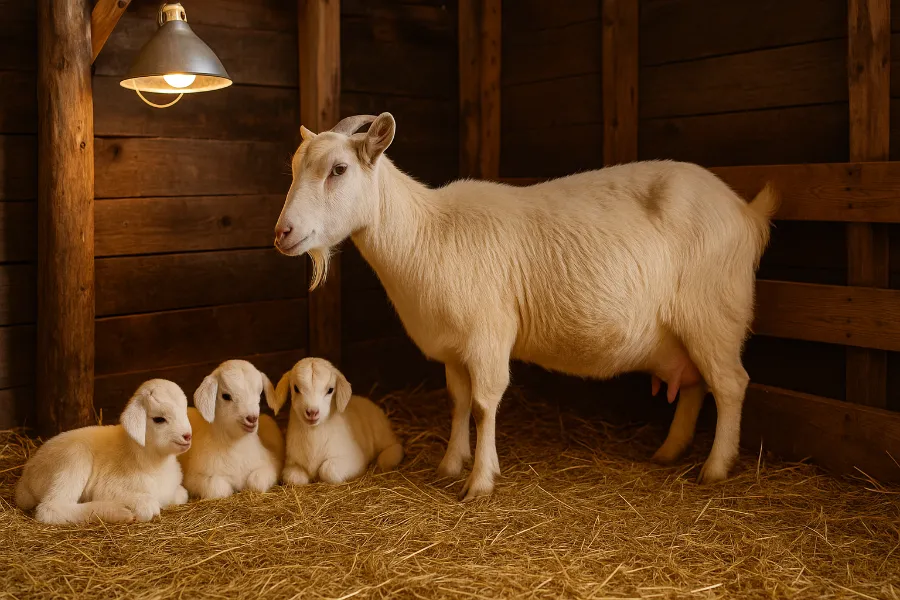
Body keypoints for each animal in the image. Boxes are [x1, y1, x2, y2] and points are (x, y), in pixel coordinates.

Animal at [16, 379, 193, 523]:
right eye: (159, 419)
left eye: (184, 411)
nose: (187, 436)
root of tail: (25, 478)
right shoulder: (108, 488)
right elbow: (147, 504)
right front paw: (138, 506)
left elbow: (182, 494)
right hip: (72, 461)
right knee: (50, 509)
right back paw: (118, 512)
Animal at [178, 360, 285, 499]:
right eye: (226, 396)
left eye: (260, 394)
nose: (252, 418)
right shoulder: (193, 479)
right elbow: (218, 488)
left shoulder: (271, 464)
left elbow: (256, 482)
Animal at [268, 357, 403, 485]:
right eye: (296, 388)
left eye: (330, 390)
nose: (312, 412)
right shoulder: (291, 464)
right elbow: (293, 478)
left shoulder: (354, 459)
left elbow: (328, 470)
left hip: (381, 432)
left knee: (395, 445)